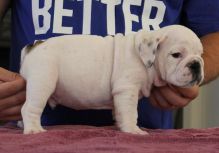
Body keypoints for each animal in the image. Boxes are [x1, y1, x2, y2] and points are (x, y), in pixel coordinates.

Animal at [20, 25, 204, 135]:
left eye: (200, 54)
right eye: (176, 55)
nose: (196, 64)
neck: (144, 57)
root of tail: (34, 46)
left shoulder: (121, 95)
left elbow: (121, 112)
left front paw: (122, 126)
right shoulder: (127, 90)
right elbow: (131, 112)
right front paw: (133, 130)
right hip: (42, 81)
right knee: (29, 107)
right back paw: (33, 130)